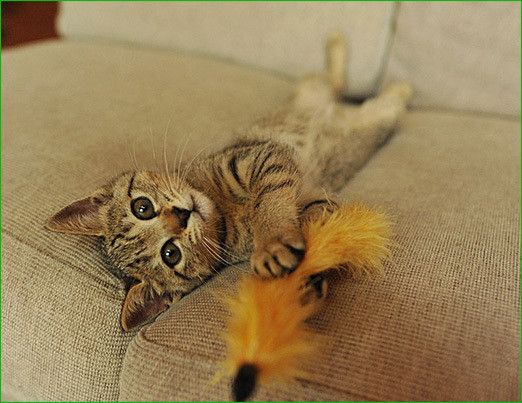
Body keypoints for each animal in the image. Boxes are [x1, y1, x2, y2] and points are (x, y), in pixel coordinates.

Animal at [46, 34, 412, 331]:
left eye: (142, 207)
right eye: (170, 254)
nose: (182, 216)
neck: (222, 208)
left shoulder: (259, 157)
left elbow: (268, 203)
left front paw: (272, 241)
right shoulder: (312, 198)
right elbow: (314, 223)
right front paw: (305, 281)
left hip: (311, 91)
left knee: (332, 80)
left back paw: (354, 59)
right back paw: (393, 93)